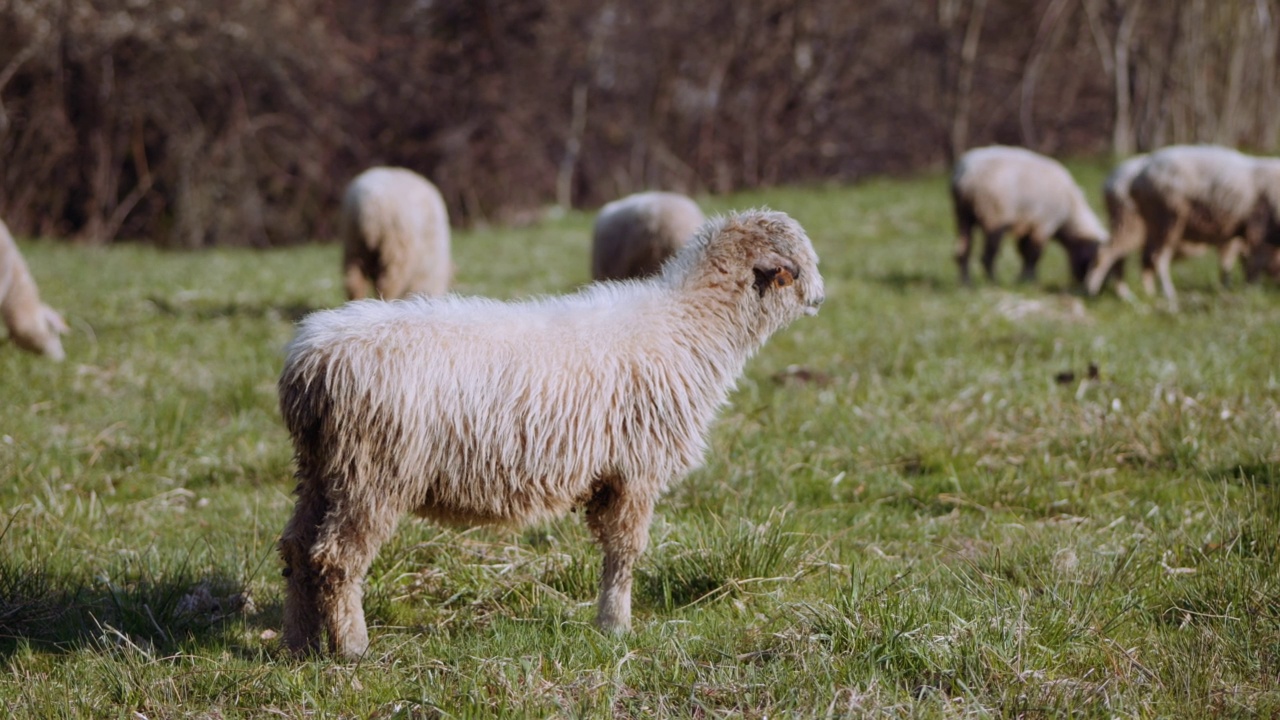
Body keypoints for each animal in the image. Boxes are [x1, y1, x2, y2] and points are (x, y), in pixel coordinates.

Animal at [275, 207, 824, 655]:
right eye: (799, 265)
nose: (820, 298)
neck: (690, 326)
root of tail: (310, 361)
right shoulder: (636, 469)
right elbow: (625, 553)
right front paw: (616, 626)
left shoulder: (612, 475)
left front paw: (610, 622)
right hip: (373, 471)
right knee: (336, 558)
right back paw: (352, 647)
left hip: (320, 467)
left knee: (297, 549)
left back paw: (299, 644)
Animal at [952, 146, 1111, 285]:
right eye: (1093, 261)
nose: (1102, 287)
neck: (1069, 215)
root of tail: (967, 175)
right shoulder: (1044, 223)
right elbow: (1033, 254)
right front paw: (1029, 280)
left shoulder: (1028, 224)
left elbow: (1024, 252)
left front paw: (1022, 279)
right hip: (994, 214)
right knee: (987, 256)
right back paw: (993, 282)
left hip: (962, 214)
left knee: (962, 251)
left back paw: (966, 284)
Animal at [1126, 146, 1280, 311]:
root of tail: (1137, 178)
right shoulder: (1258, 228)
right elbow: (1255, 263)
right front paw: (1251, 289)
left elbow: (1242, 262)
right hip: (1168, 218)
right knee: (1159, 259)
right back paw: (1169, 294)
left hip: (1155, 224)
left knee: (1147, 258)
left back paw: (1149, 292)